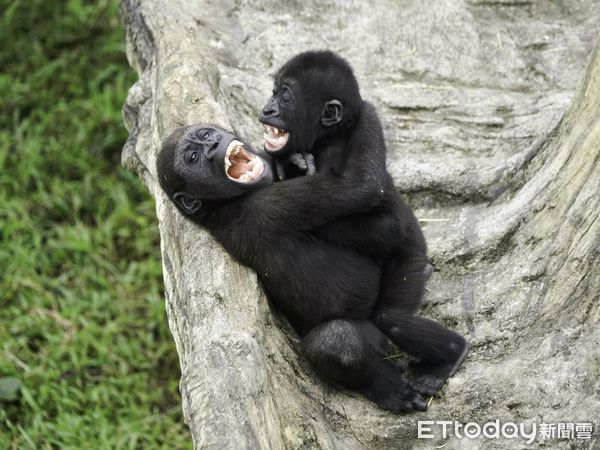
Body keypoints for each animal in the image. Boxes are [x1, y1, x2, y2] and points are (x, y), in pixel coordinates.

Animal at [258, 51, 468, 398]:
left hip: (412, 256)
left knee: (393, 316)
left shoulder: (368, 120)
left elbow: (374, 204)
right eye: (273, 92)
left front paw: (298, 170)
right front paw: (288, 164)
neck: (329, 137)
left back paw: (450, 354)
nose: (267, 109)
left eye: (285, 95)